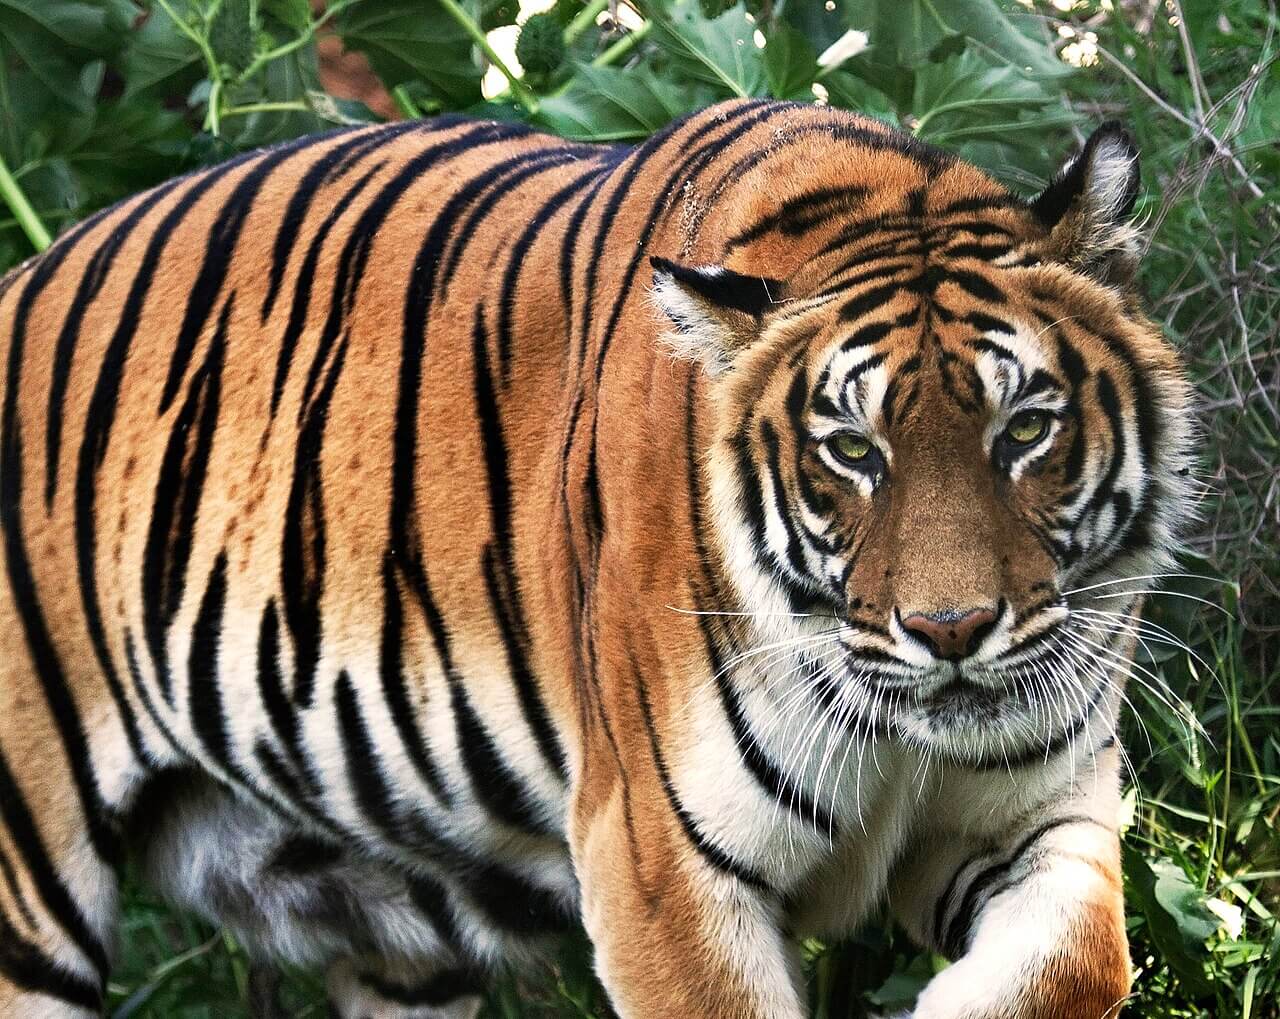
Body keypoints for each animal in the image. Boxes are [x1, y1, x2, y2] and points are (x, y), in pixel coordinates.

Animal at [0, 101, 1192, 1019]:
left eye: (1023, 428)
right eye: (853, 451)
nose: (951, 632)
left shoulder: (1040, 813)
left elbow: (1079, 962)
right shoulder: (662, 871)